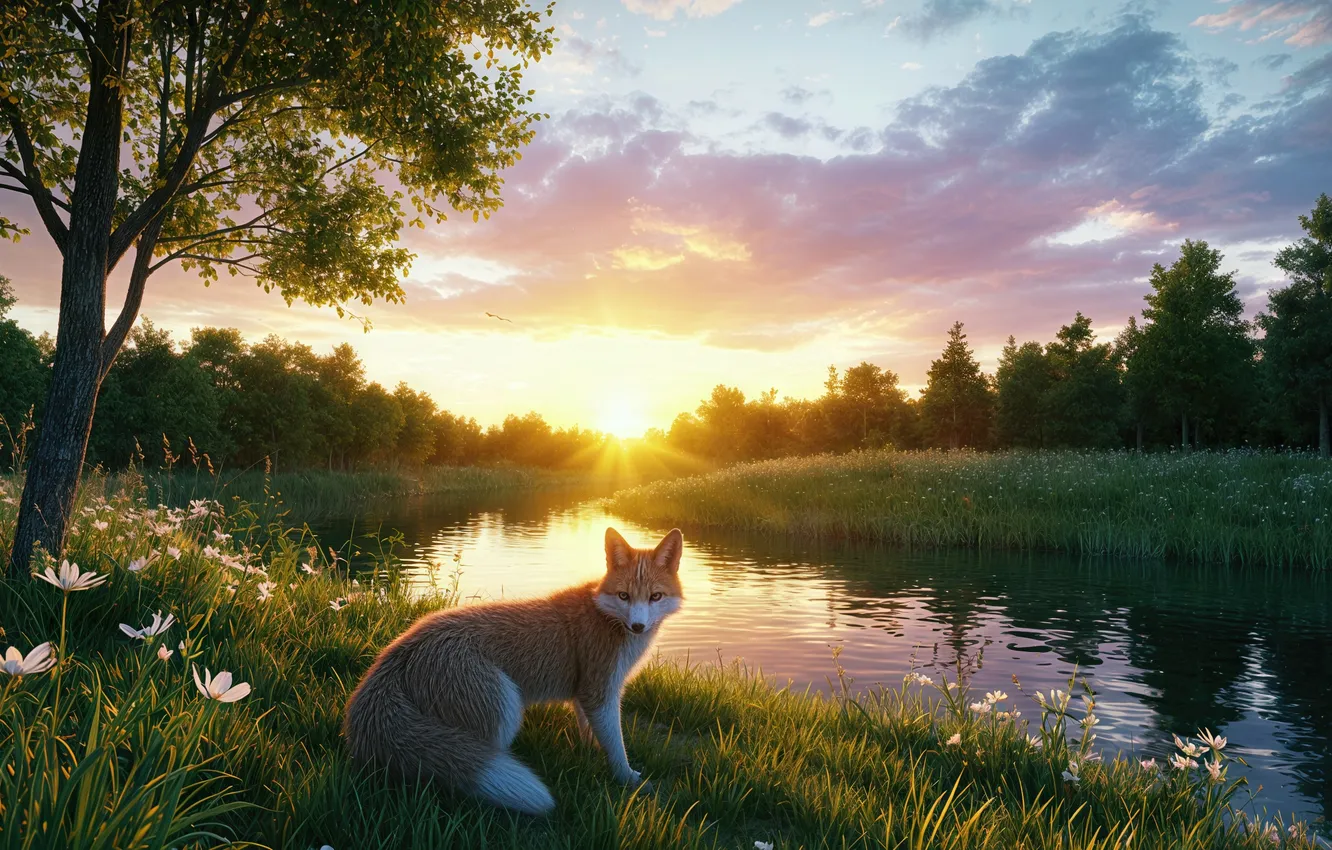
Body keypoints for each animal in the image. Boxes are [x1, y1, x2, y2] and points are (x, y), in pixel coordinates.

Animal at [343, 526, 685, 815]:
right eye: (624, 595)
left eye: (655, 596)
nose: (638, 626)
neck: (606, 617)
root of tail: (400, 651)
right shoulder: (601, 690)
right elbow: (616, 746)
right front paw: (629, 779)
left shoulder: (587, 691)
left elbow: (590, 730)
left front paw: (589, 752)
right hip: (504, 707)